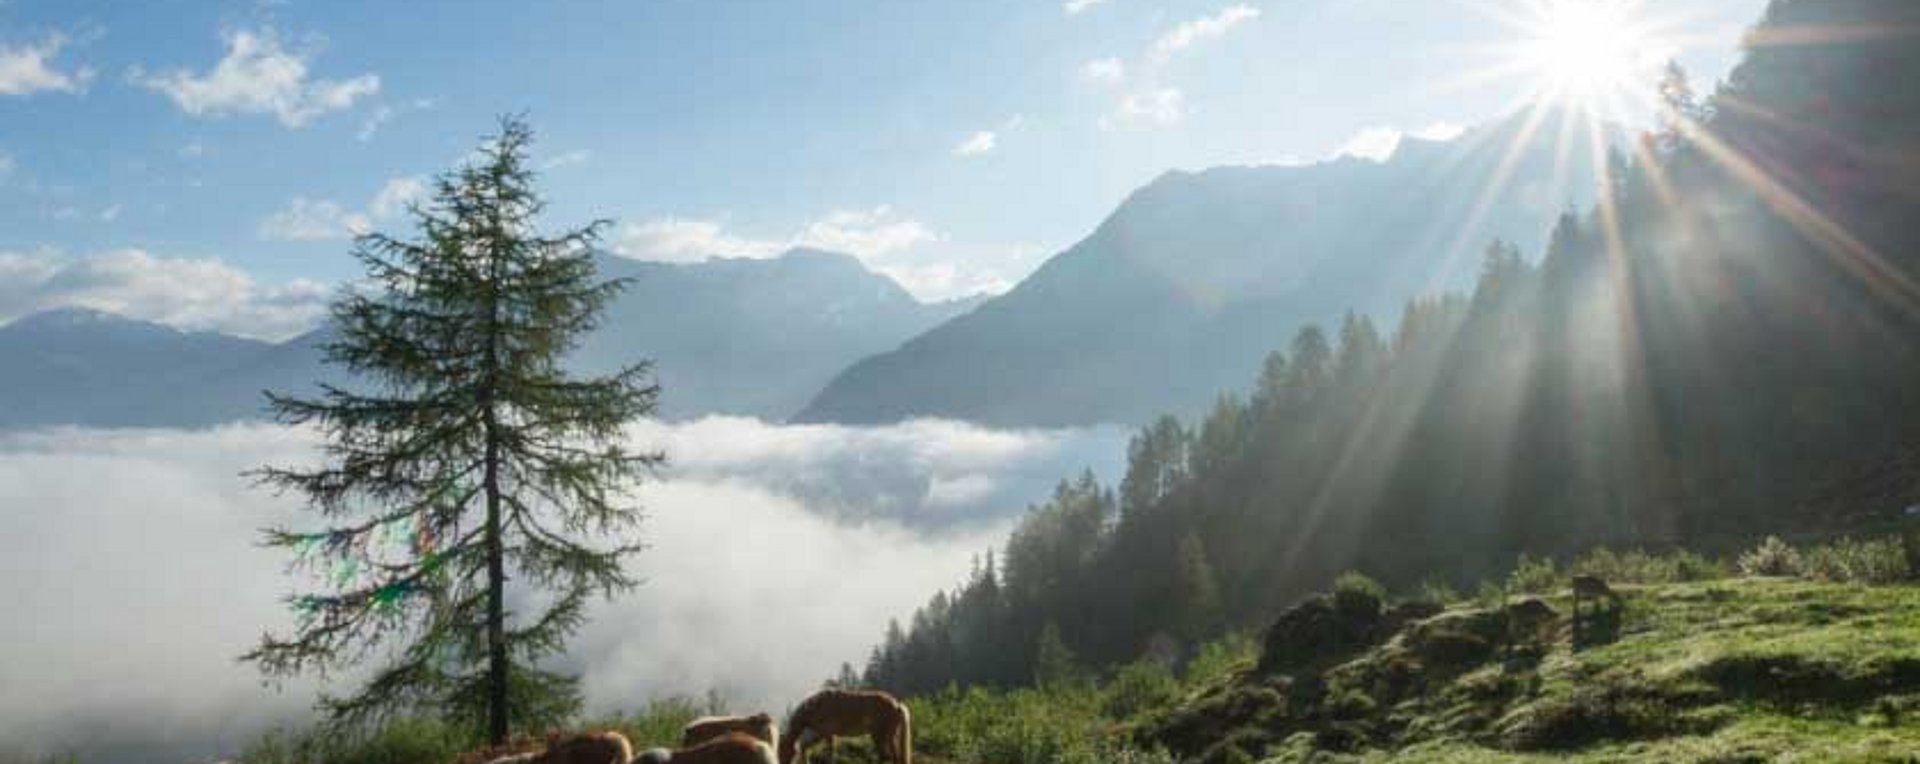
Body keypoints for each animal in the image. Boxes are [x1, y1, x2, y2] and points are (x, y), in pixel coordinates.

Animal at [775, 687, 910, 764]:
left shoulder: (827, 734)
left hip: (881, 736)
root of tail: (897, 704)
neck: (816, 707)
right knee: (894, 758)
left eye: (782, 751)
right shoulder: (819, 734)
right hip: (888, 737)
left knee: (888, 757)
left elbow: (830, 753)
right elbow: (805, 747)